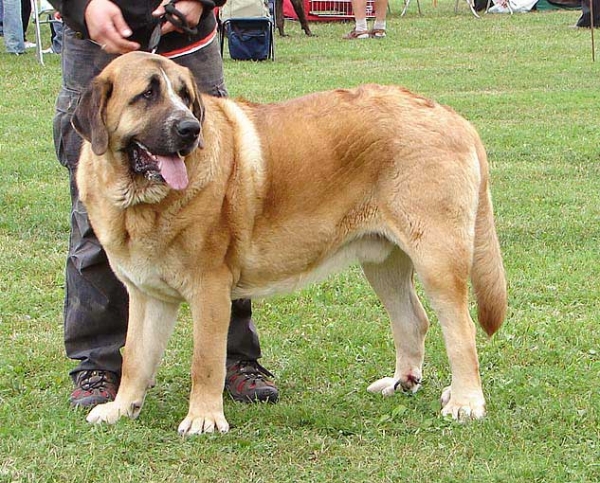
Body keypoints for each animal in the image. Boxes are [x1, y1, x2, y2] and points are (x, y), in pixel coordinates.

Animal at [74, 51, 506, 436]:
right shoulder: (147, 295)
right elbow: (135, 357)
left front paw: (204, 419)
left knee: (461, 329)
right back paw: (403, 382)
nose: (189, 129)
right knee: (413, 319)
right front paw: (121, 408)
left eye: (184, 95)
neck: (140, 203)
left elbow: (206, 361)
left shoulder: (209, 291)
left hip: (438, 259)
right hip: (383, 263)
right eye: (147, 95)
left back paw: (465, 401)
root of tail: (452, 117)